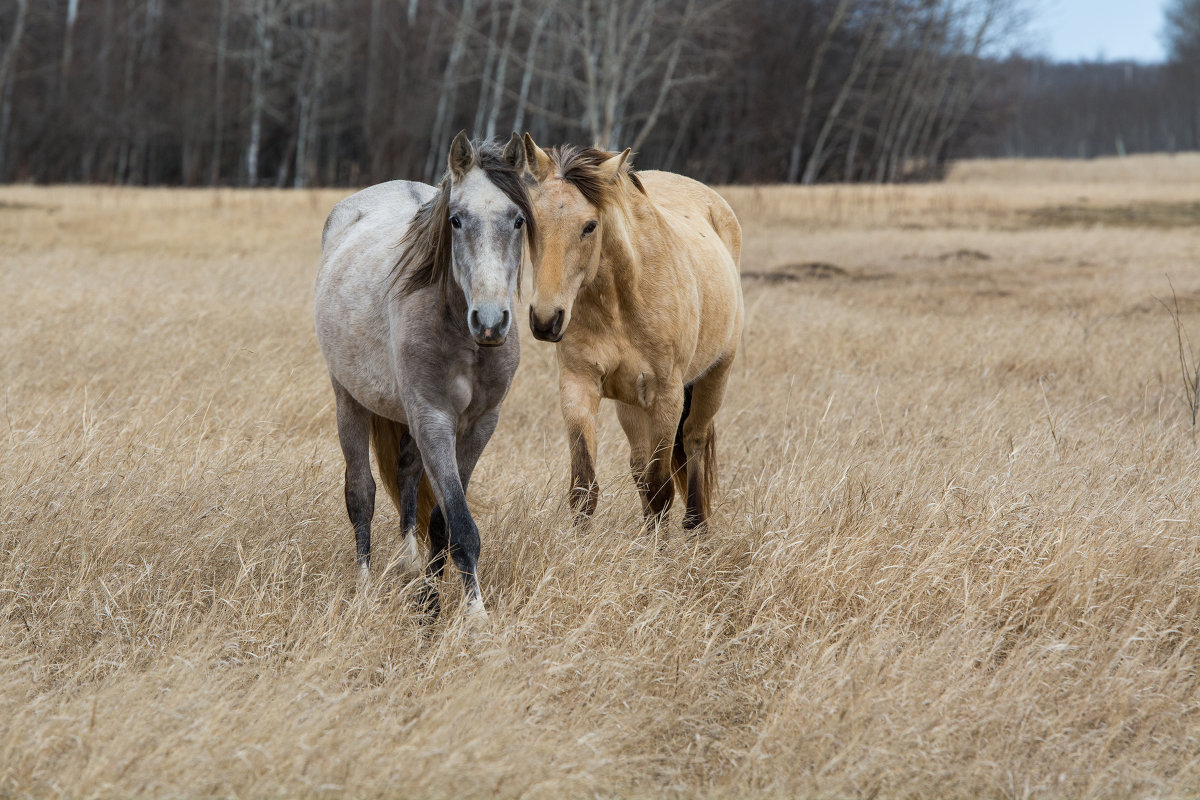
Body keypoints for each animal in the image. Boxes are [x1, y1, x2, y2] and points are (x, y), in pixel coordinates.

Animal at [314, 133, 535, 623]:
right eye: (455, 219)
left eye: (517, 220)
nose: (490, 322)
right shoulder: (434, 419)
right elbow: (462, 526)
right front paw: (476, 620)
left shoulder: (479, 426)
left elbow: (443, 521)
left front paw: (429, 604)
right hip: (349, 399)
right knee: (361, 493)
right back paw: (365, 588)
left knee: (407, 480)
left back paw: (409, 568)